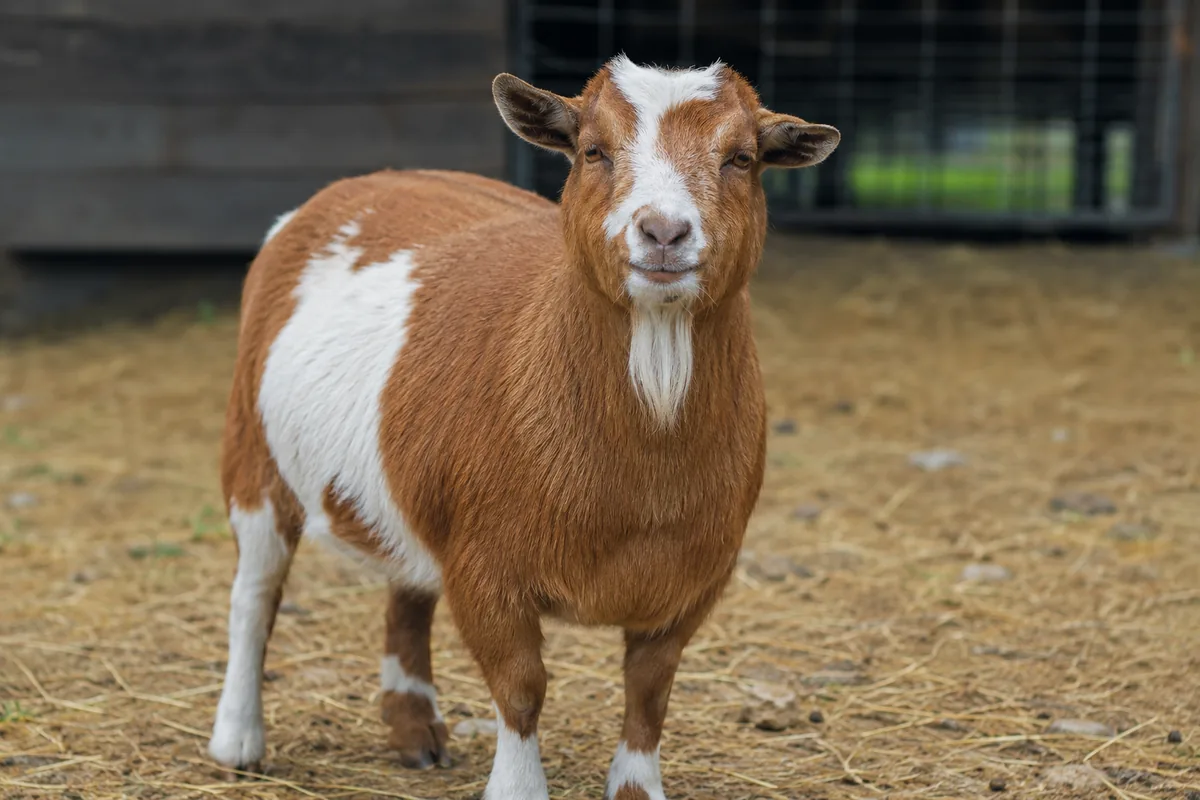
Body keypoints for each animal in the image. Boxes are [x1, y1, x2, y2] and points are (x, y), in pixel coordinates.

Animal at [208, 55, 839, 800]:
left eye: (741, 158)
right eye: (593, 150)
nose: (663, 232)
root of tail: (367, 180)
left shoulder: (695, 577)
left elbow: (650, 690)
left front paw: (636, 788)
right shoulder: (486, 565)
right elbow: (520, 687)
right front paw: (517, 786)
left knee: (406, 590)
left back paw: (413, 729)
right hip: (251, 449)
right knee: (255, 593)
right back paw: (238, 739)